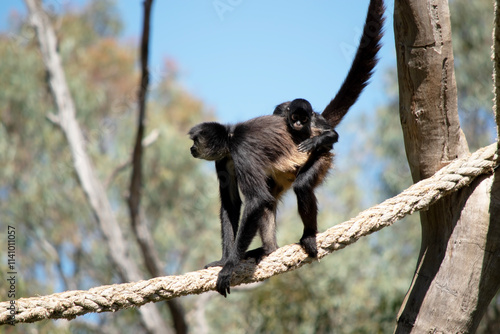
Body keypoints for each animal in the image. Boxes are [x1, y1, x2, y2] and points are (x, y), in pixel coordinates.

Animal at [188, 0, 382, 296]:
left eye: (194, 141)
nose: (191, 150)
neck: (231, 138)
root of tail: (315, 125)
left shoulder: (241, 152)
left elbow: (255, 200)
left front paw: (230, 266)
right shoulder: (224, 159)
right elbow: (233, 204)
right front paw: (224, 259)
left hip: (321, 155)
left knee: (298, 187)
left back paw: (308, 236)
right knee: (269, 202)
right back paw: (268, 250)